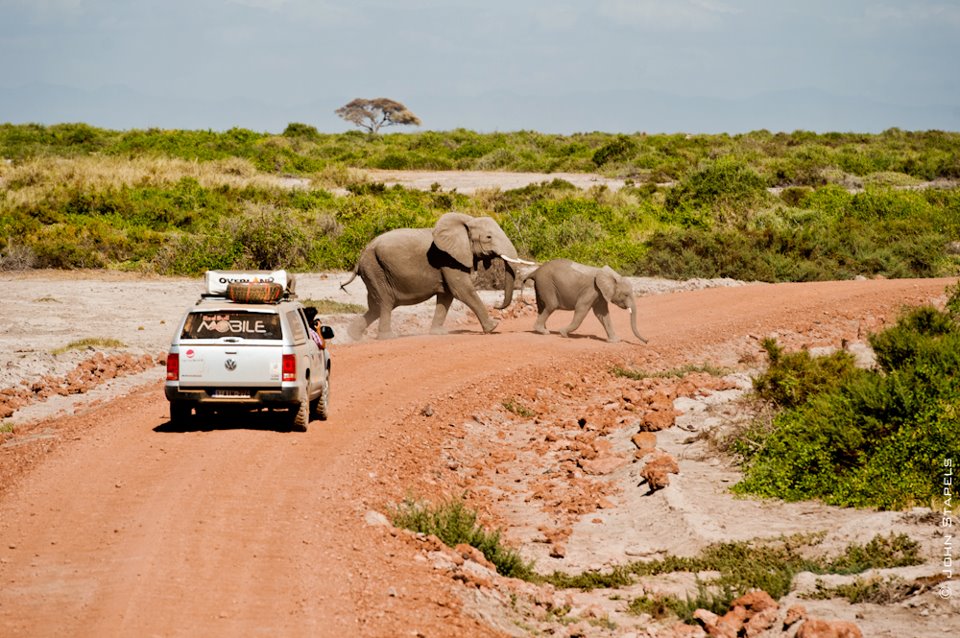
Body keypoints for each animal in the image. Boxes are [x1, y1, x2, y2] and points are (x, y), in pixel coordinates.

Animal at [340, 212, 522, 339]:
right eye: (488, 237)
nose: (497, 306)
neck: (467, 221)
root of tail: (361, 256)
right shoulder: (448, 258)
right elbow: (462, 290)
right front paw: (494, 327)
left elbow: (447, 295)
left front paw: (438, 333)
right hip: (375, 268)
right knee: (385, 302)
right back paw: (388, 337)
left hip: (373, 270)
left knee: (376, 306)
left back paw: (353, 336)